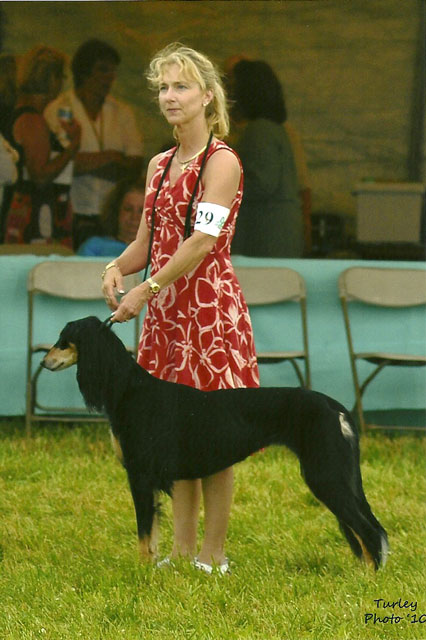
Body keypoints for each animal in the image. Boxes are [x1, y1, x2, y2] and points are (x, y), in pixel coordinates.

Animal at [42, 316, 390, 568]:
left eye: (64, 340)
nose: (44, 362)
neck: (129, 388)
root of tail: (336, 406)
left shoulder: (140, 476)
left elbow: (143, 531)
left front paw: (140, 572)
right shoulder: (150, 479)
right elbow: (151, 533)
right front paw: (152, 566)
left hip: (325, 475)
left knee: (370, 531)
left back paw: (369, 579)